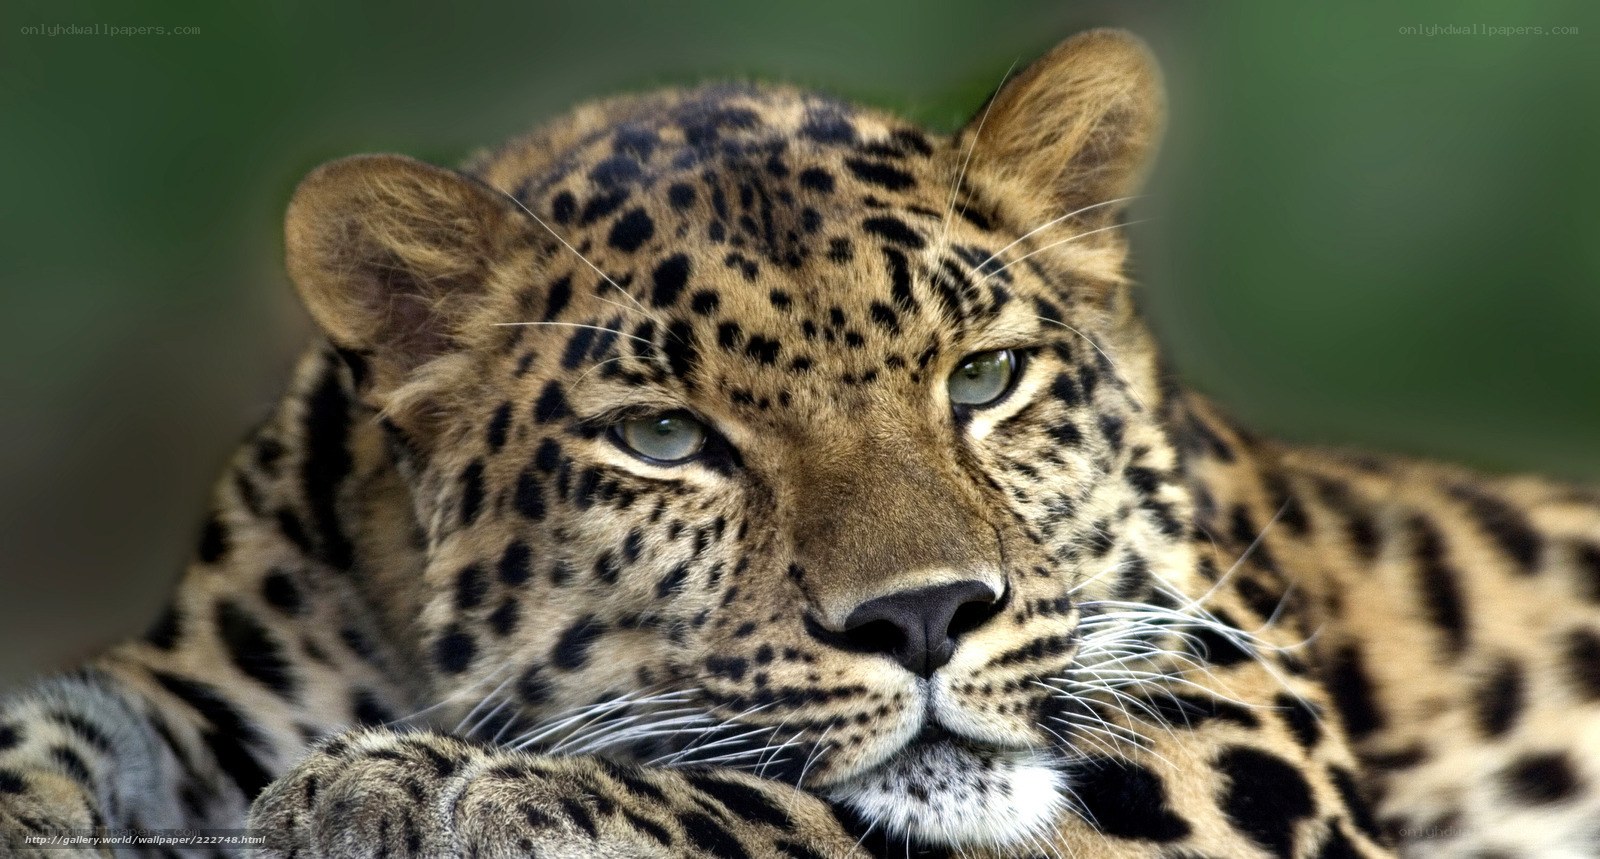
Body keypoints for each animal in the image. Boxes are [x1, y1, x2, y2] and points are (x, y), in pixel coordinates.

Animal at [2, 28, 1597, 858]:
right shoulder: (205, 682)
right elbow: (53, 720)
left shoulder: (1236, 724)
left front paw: (443, 787)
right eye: (665, 437)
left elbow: (795, 808)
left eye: (984, 377)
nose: (927, 616)